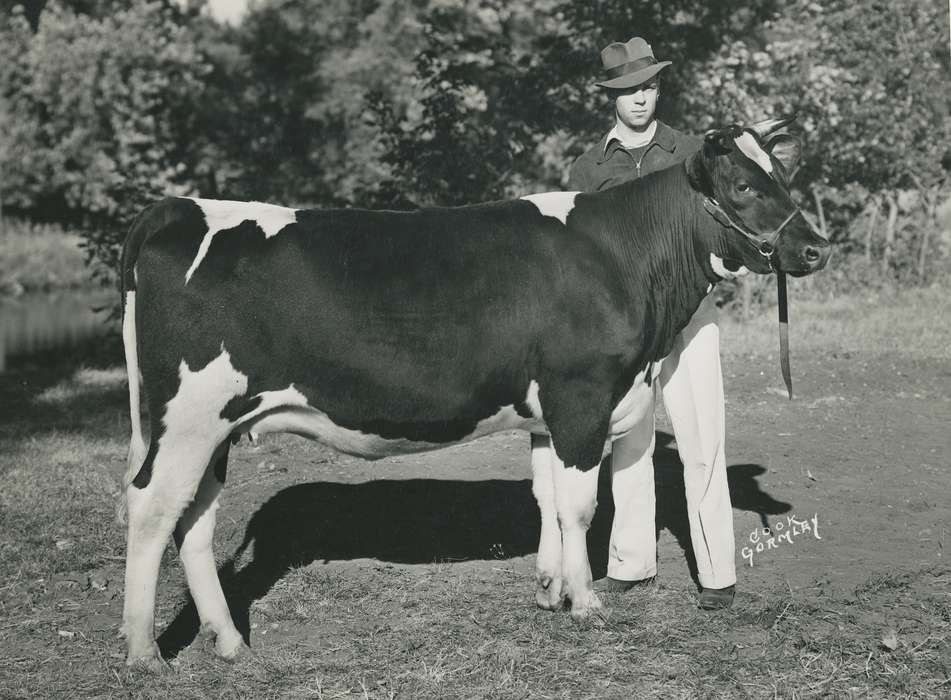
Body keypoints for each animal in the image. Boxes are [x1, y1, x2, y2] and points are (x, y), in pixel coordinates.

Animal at [117, 116, 829, 669]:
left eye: (783, 176)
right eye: (744, 185)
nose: (816, 249)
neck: (623, 257)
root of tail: (179, 208)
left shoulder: (547, 413)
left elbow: (548, 500)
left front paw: (550, 591)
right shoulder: (581, 397)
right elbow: (579, 506)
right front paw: (587, 604)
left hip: (217, 428)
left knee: (195, 522)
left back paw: (230, 642)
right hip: (189, 418)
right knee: (152, 510)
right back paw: (143, 652)